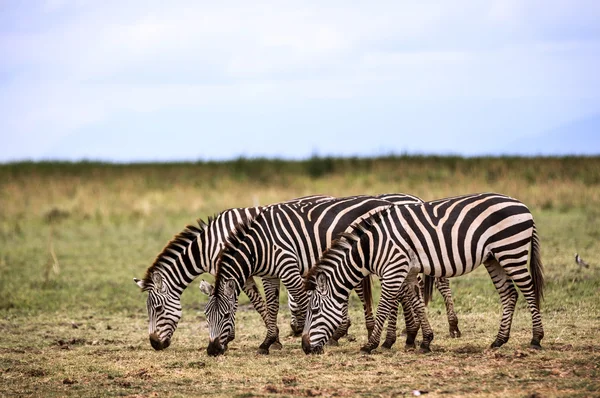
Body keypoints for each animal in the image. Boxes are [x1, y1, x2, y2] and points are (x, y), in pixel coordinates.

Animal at [132, 194, 332, 350]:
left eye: (158, 309)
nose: (155, 344)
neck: (208, 246)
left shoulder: (236, 269)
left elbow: (247, 303)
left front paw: (234, 338)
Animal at [202, 194, 460, 356]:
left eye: (226, 316)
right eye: (206, 317)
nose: (212, 351)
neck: (259, 245)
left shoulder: (287, 264)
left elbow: (303, 301)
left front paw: (304, 336)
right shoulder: (271, 275)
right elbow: (272, 306)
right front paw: (269, 341)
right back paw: (408, 337)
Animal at [304, 193, 544, 354]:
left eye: (314, 311)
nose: (305, 348)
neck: (372, 248)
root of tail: (522, 205)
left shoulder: (393, 270)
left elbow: (384, 307)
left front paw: (370, 344)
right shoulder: (408, 271)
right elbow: (417, 304)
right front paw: (426, 341)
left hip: (511, 250)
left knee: (529, 290)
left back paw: (536, 339)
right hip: (494, 257)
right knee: (509, 295)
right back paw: (499, 340)